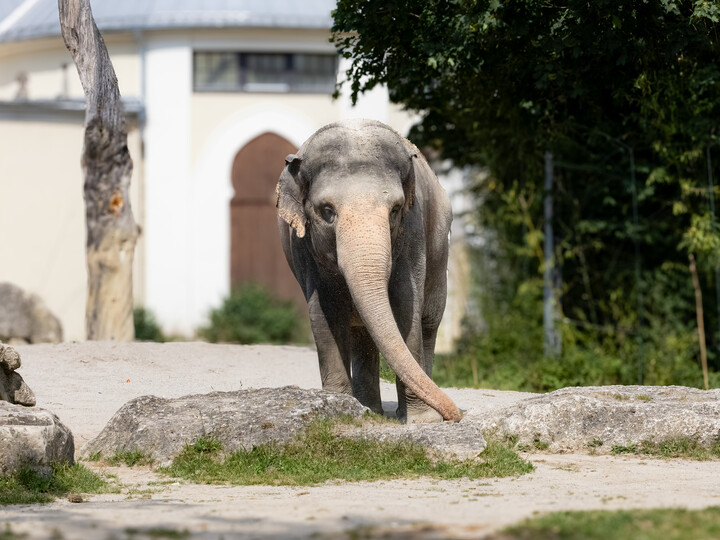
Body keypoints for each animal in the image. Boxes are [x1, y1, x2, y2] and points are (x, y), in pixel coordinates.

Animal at [276, 118, 462, 423]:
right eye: (327, 211)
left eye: (395, 210)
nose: (454, 415)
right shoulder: (302, 246)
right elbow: (324, 313)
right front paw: (339, 409)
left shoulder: (413, 232)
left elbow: (406, 306)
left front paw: (423, 420)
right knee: (363, 334)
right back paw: (370, 410)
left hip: (439, 250)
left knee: (429, 322)